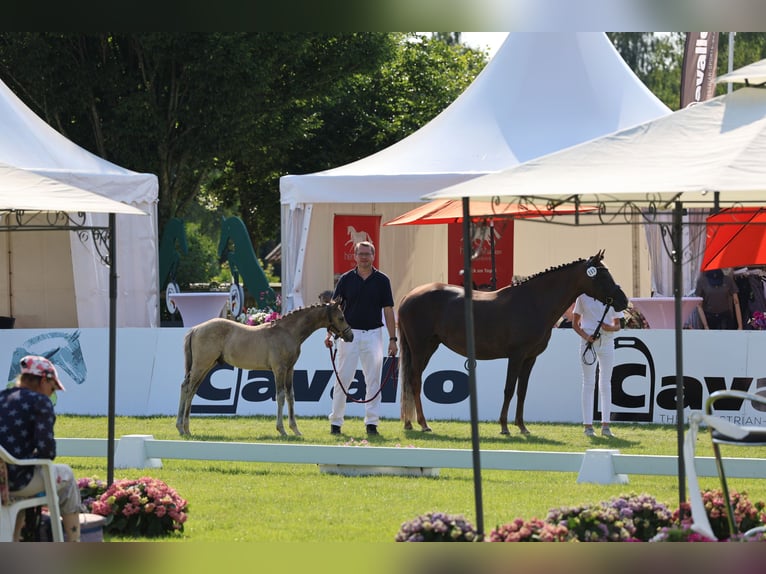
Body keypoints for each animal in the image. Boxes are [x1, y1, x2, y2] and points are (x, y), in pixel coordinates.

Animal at [400, 252, 628, 436]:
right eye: (602, 275)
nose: (623, 301)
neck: (534, 302)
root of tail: (408, 296)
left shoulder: (529, 358)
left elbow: (522, 391)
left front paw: (522, 426)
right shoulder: (516, 356)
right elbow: (509, 389)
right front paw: (504, 426)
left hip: (429, 347)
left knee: (412, 381)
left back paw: (410, 423)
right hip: (420, 348)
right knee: (415, 380)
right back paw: (423, 424)